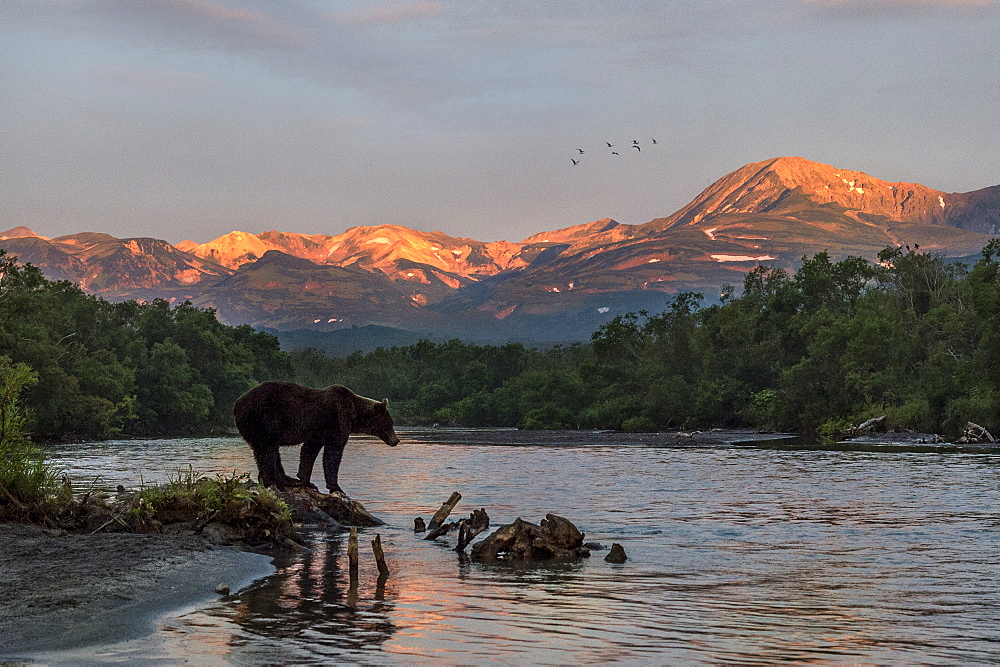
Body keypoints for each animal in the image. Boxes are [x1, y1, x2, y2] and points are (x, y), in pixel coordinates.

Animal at [233, 380, 398, 496]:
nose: (396, 440)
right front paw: (336, 487)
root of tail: (237, 404)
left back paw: (286, 479)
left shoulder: (317, 433)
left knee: (266, 451)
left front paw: (306, 480)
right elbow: (333, 454)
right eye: (390, 423)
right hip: (264, 420)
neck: (354, 415)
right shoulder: (337, 421)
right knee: (268, 450)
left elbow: (309, 451)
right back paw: (274, 481)